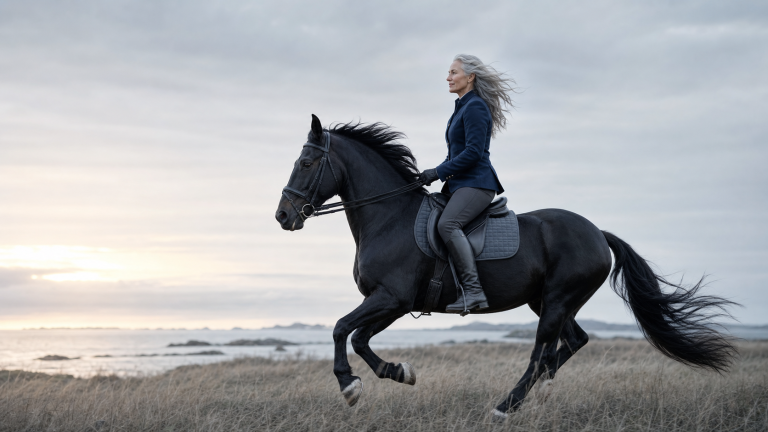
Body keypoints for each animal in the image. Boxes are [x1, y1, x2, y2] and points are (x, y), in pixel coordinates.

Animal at [274, 114, 736, 420]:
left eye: (307, 163)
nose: (283, 216)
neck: (390, 217)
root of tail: (597, 233)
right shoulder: (389, 302)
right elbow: (359, 338)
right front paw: (398, 372)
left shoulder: (392, 297)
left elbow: (341, 330)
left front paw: (350, 386)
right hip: (547, 301)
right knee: (575, 341)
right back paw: (538, 389)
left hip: (556, 301)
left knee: (541, 351)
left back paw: (506, 405)